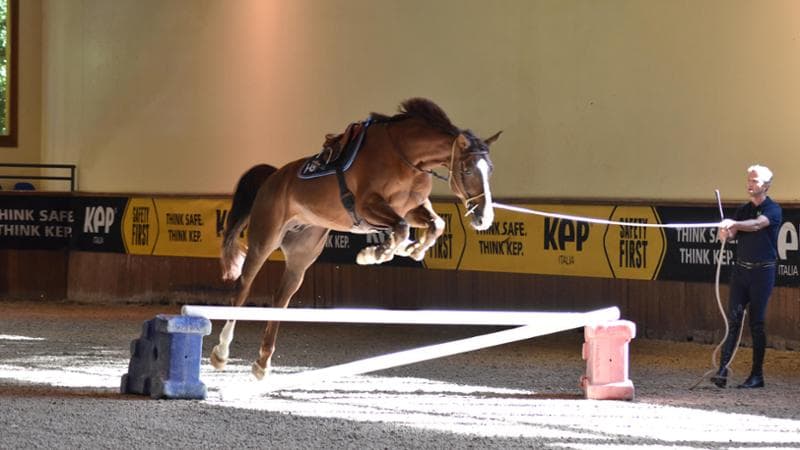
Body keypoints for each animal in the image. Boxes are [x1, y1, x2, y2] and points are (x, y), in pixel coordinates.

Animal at [210, 98, 501, 380]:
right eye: (467, 170)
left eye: (490, 170)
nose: (484, 217)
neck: (406, 156)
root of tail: (272, 176)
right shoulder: (367, 206)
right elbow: (402, 228)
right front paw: (377, 253)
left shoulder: (410, 208)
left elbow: (434, 225)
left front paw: (408, 250)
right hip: (264, 240)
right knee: (243, 288)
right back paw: (221, 352)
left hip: (302, 253)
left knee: (281, 298)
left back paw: (262, 362)